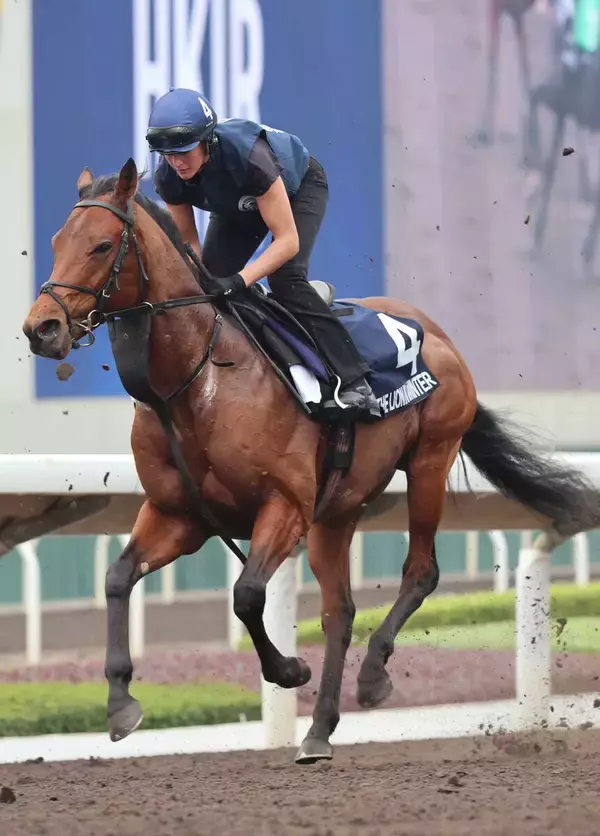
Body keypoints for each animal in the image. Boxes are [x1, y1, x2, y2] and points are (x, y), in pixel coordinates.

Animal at [22, 158, 600, 765]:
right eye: (57, 241)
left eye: (102, 244)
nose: (41, 328)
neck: (198, 379)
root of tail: (437, 333)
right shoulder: (179, 515)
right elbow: (116, 578)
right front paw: (119, 703)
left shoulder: (285, 506)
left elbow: (247, 595)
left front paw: (287, 669)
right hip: (339, 509)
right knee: (338, 611)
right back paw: (319, 730)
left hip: (429, 463)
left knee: (420, 572)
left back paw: (371, 677)